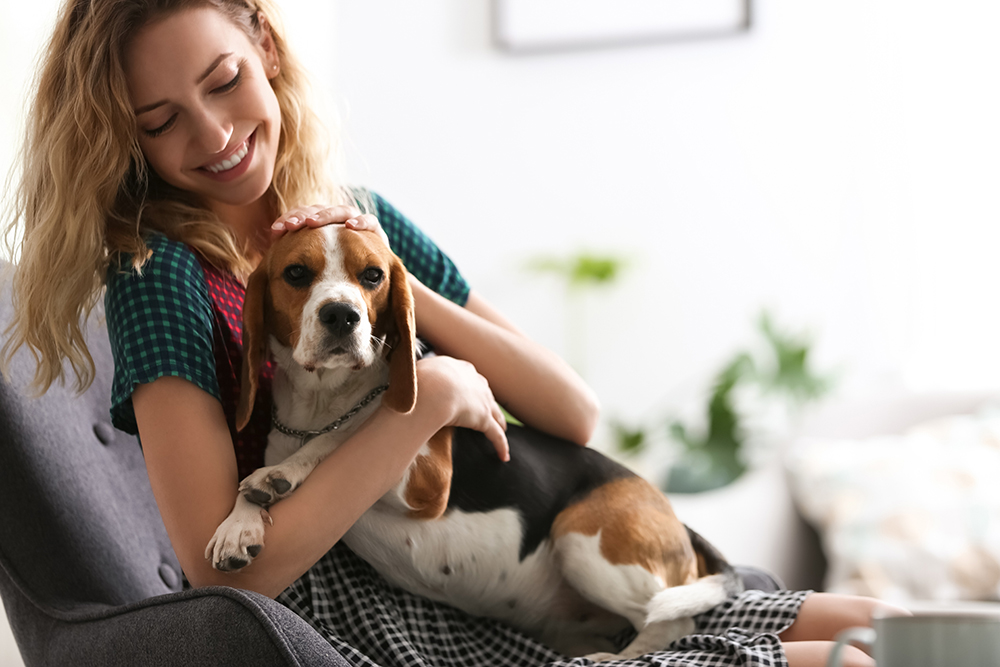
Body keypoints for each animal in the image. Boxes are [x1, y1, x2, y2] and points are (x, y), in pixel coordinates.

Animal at [209, 223, 744, 656]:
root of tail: (678, 522)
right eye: (297, 273)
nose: (343, 315)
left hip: (581, 538)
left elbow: (342, 437)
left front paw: (278, 474)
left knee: (672, 623)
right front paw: (241, 522)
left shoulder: (424, 480)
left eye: (373, 276)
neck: (322, 403)